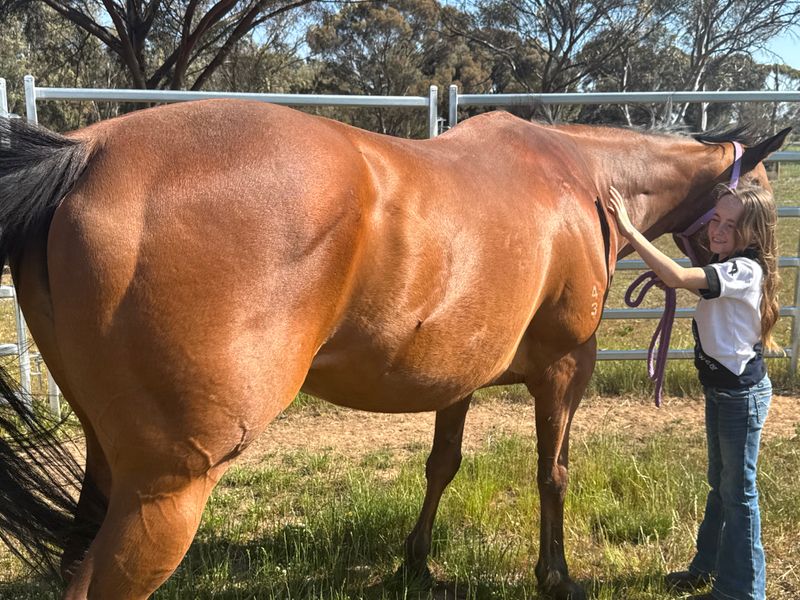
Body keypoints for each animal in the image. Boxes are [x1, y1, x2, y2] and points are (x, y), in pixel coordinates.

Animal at [0, 100, 789, 599]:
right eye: (755, 186)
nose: (763, 283)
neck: (582, 179)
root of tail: (85, 155)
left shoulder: (458, 374)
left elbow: (443, 464)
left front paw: (417, 563)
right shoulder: (568, 369)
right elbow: (553, 473)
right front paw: (556, 576)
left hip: (108, 464)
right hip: (166, 492)